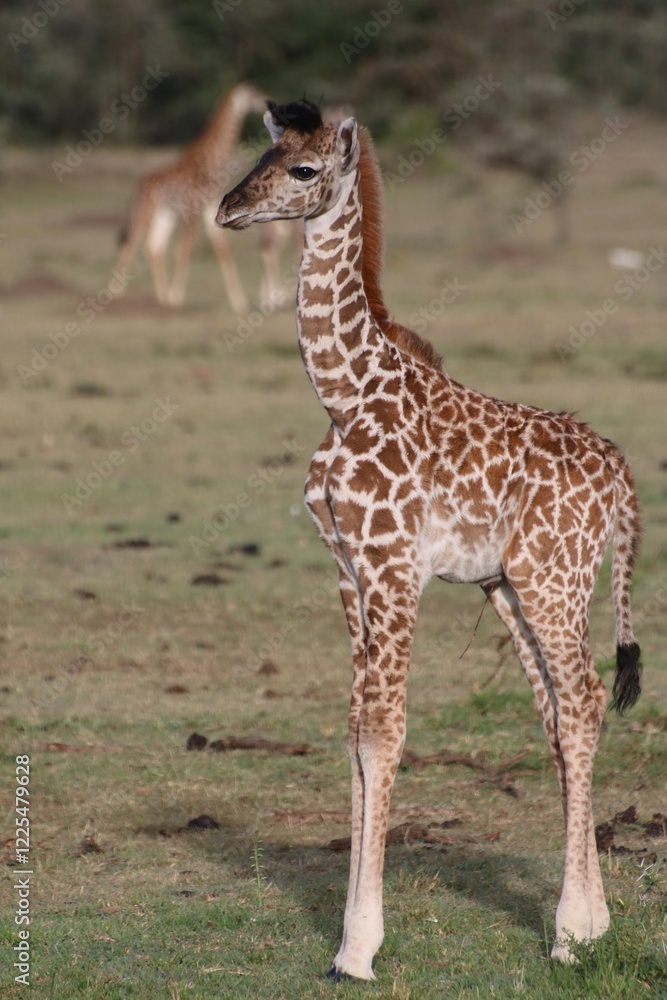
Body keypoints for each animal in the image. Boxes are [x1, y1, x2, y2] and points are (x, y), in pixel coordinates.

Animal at [115, 82, 294, 311]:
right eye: (254, 92)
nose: (269, 100)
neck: (212, 161)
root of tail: (139, 185)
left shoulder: (211, 208)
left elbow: (223, 249)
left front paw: (239, 301)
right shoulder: (193, 208)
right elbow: (185, 250)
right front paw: (177, 296)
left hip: (165, 213)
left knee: (154, 247)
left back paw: (161, 297)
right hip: (146, 210)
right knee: (130, 244)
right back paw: (115, 295)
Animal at [215, 100, 642, 981]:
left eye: (303, 169)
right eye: (261, 152)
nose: (228, 208)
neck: (344, 394)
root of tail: (620, 473)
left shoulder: (393, 566)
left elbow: (386, 731)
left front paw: (356, 949)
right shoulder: (347, 570)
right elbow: (353, 733)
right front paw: (348, 939)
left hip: (553, 577)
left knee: (584, 698)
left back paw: (566, 934)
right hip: (510, 584)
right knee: (558, 713)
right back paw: (591, 927)